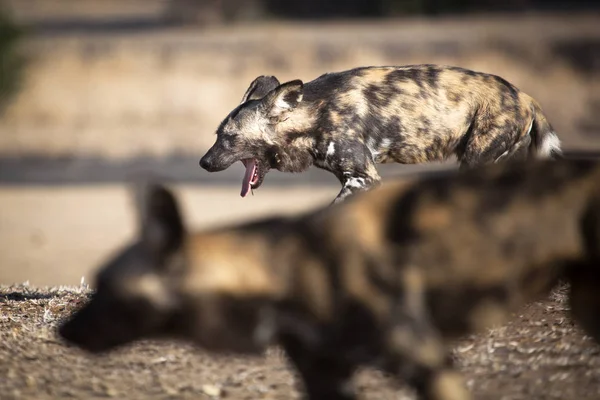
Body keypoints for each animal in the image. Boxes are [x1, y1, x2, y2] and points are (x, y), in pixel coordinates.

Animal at [57, 157, 600, 400]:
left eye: (109, 287)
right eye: (97, 280)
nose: (62, 331)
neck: (287, 265)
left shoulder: (430, 365)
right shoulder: (326, 379)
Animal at [200, 65, 564, 205]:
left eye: (229, 138)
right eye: (217, 134)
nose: (203, 162)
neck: (312, 115)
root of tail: (525, 96)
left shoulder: (363, 179)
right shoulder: (356, 179)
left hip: (476, 162)